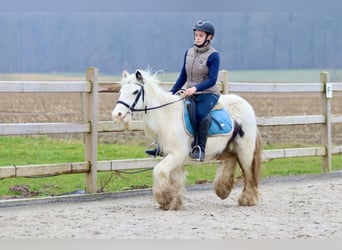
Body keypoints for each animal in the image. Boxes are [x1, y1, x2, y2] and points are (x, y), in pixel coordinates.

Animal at [112, 69, 262, 210]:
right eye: (121, 90)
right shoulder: (173, 156)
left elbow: (159, 170)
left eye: (135, 91)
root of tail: (246, 105)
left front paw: (164, 199)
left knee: (248, 173)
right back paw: (222, 189)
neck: (167, 115)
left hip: (245, 150)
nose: (117, 114)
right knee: (231, 157)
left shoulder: (177, 154)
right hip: (223, 149)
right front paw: (175, 203)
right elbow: (176, 179)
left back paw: (247, 199)